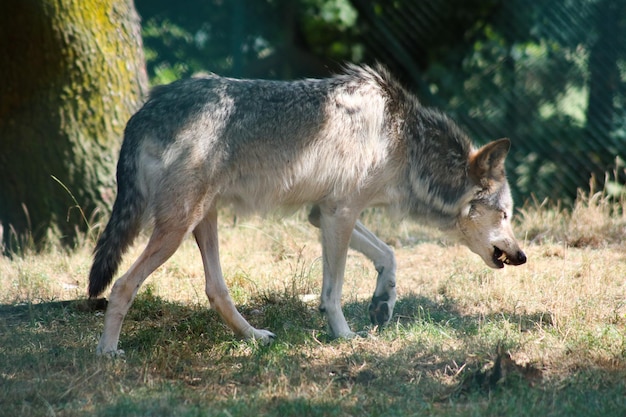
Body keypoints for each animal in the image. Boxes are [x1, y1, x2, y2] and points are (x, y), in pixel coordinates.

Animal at [88, 64, 528, 354]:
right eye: (505, 214)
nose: (523, 256)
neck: (404, 140)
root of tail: (142, 113)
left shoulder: (325, 212)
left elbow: (389, 254)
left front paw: (382, 302)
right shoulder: (340, 214)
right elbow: (333, 292)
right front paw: (345, 335)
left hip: (202, 220)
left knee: (216, 290)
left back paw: (254, 338)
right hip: (177, 228)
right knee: (122, 285)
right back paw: (108, 352)